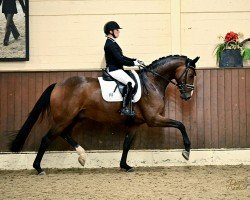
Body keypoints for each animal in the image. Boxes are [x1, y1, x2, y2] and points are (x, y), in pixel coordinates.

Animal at [10, 55, 200, 175]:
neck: (151, 83)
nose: (187, 96)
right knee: (46, 139)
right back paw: (39, 168)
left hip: (74, 118)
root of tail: (58, 84)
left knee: (65, 134)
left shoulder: (135, 123)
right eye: (190, 74)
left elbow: (126, 144)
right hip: (64, 118)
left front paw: (125, 166)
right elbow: (180, 124)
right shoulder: (153, 119)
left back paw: (82, 156)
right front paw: (186, 151)